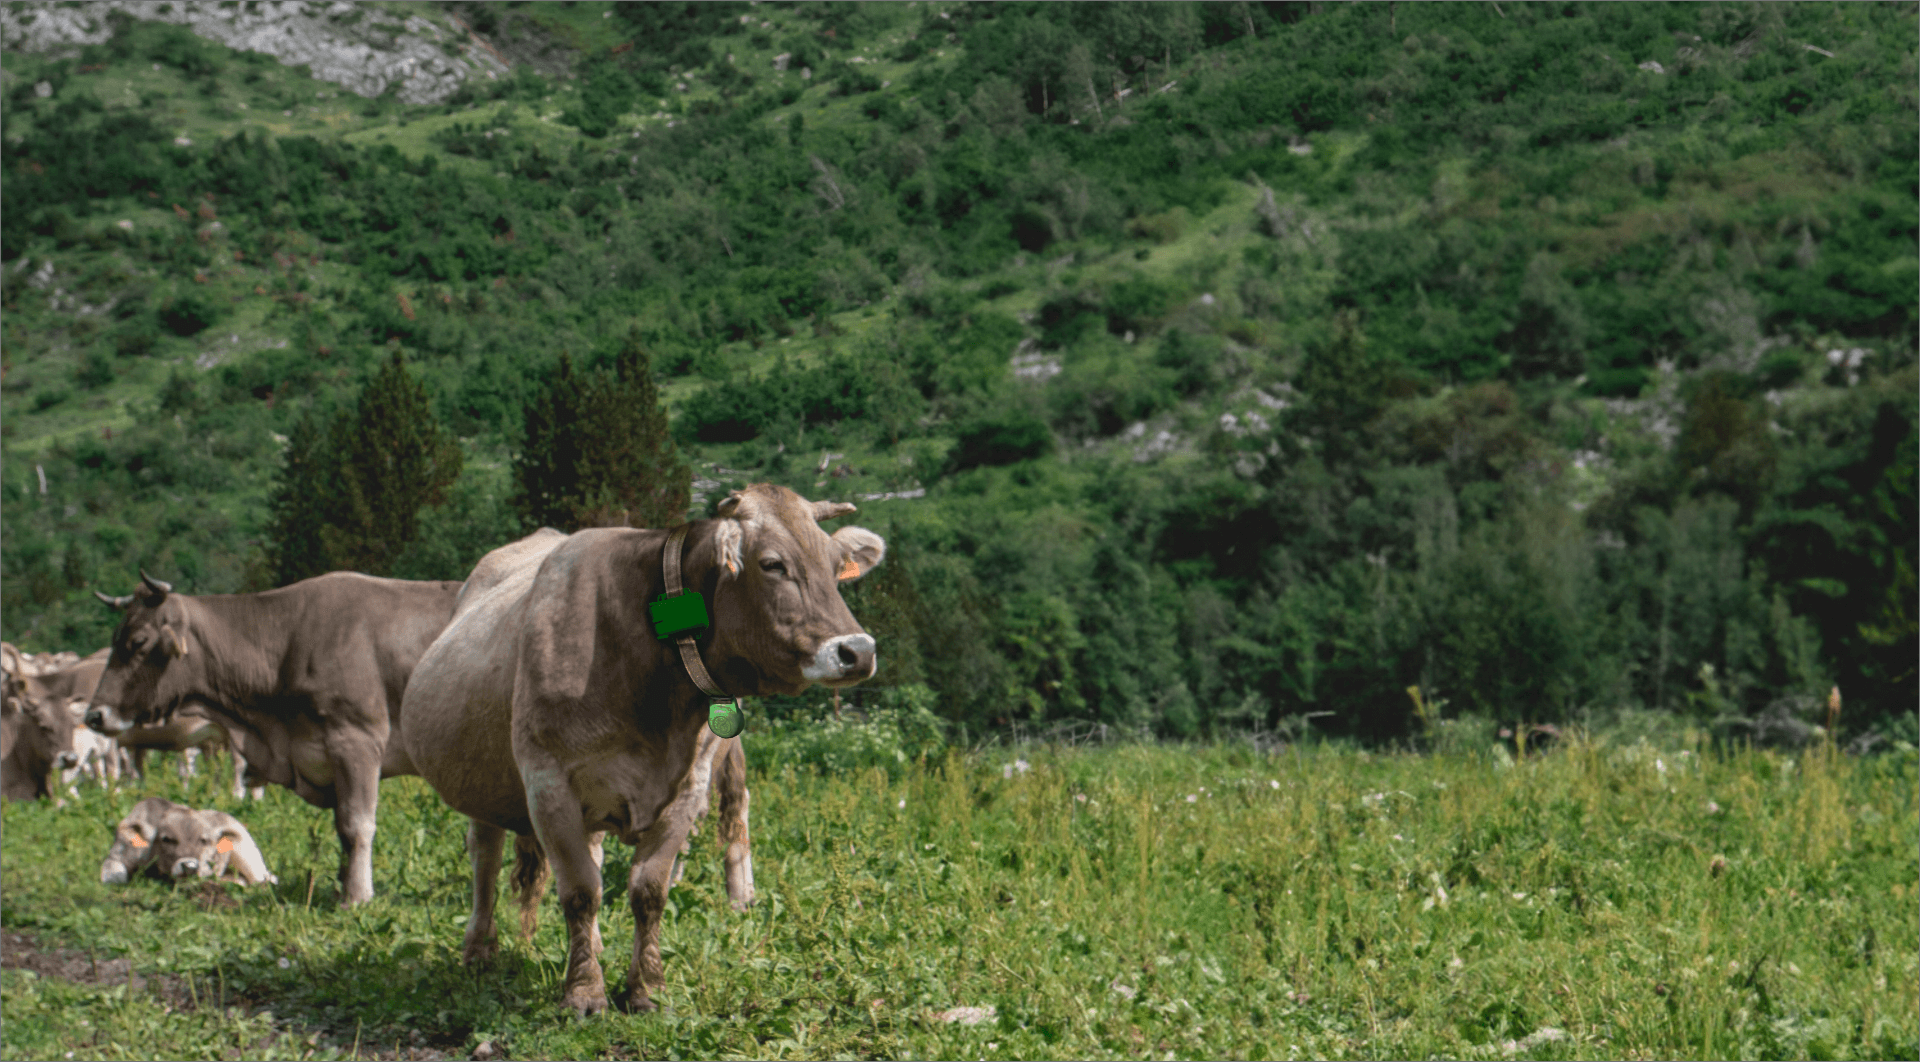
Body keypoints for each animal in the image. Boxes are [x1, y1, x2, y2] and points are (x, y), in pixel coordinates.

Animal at [408, 483, 887, 1013]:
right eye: (772, 564)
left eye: (835, 564)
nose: (858, 651)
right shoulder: (547, 782)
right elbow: (579, 891)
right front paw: (584, 993)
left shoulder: (688, 787)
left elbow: (648, 889)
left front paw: (646, 988)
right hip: (482, 782)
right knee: (486, 859)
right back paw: (479, 949)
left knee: (591, 857)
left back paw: (593, 945)